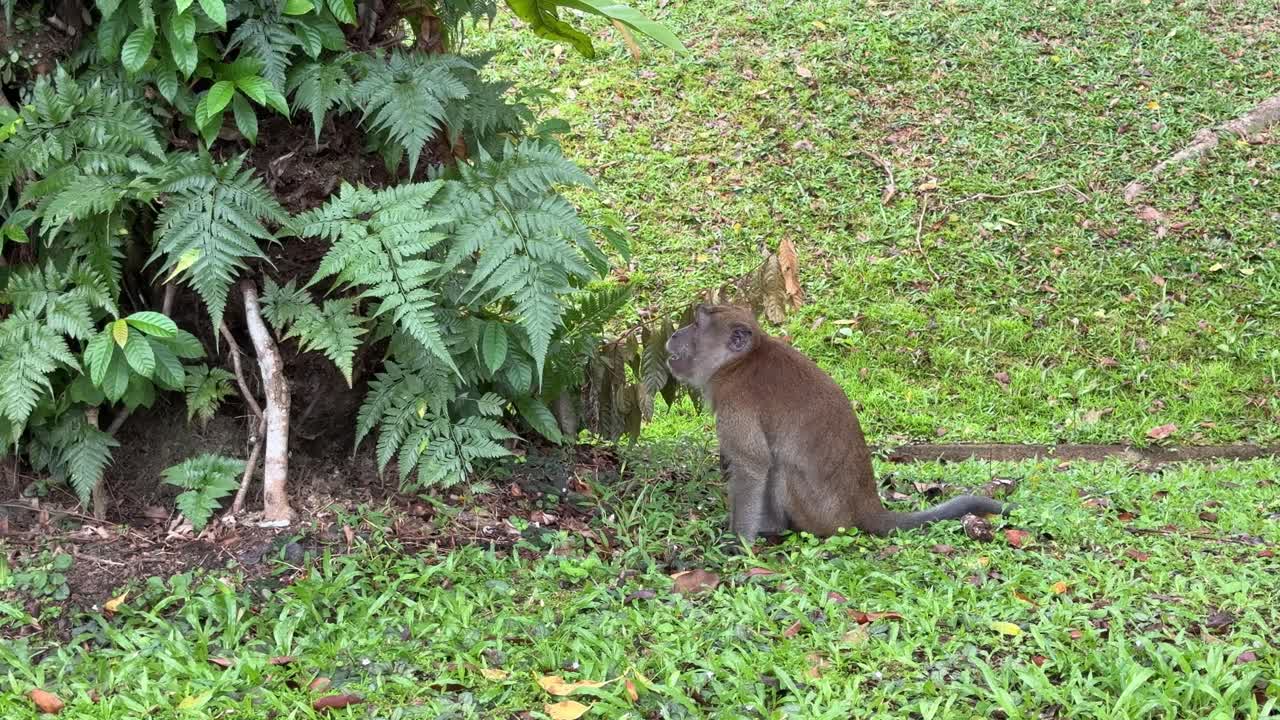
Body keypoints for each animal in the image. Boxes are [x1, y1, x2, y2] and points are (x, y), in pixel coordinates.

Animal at [665, 303, 1008, 542]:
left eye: (696, 323)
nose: (674, 334)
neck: (736, 365)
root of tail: (866, 505)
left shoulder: (736, 402)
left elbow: (753, 465)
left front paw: (739, 543)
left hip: (820, 513)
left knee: (780, 466)